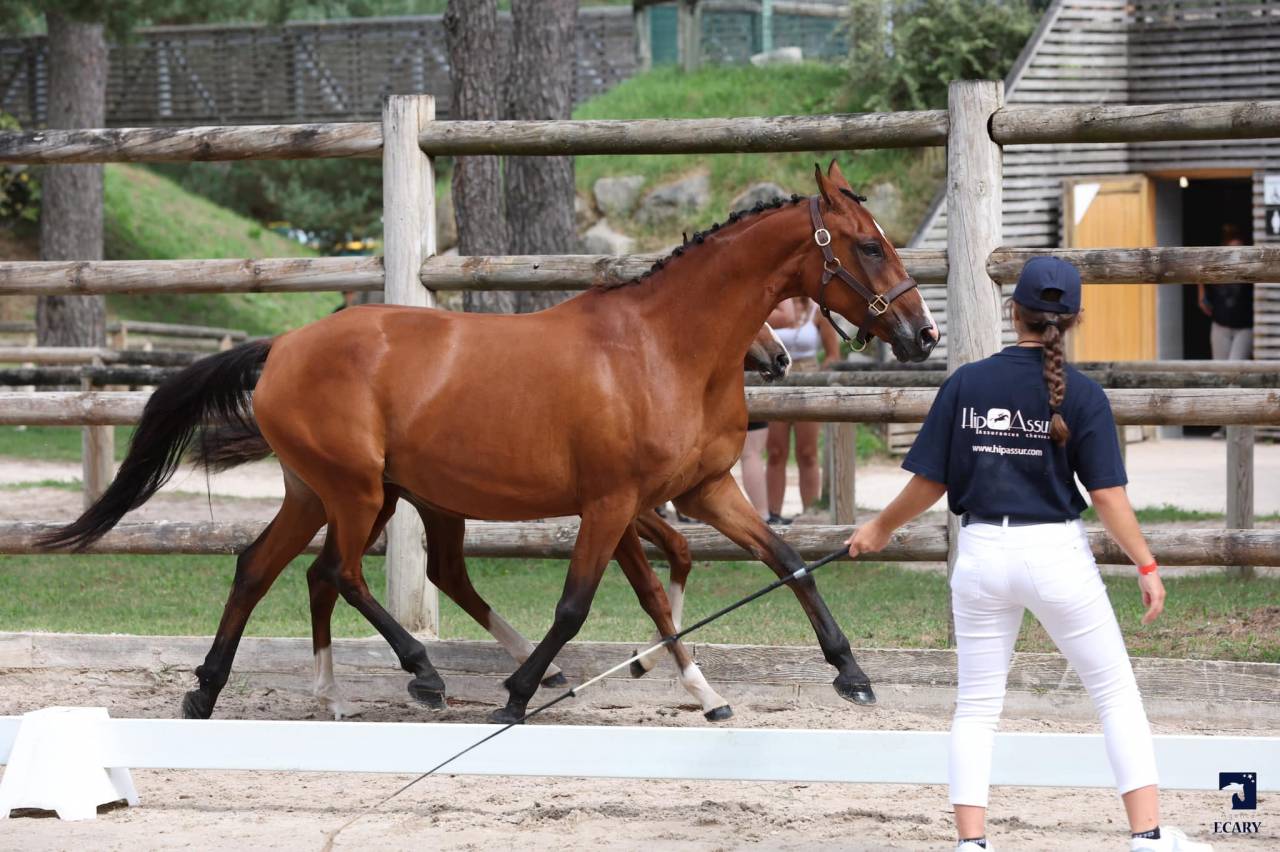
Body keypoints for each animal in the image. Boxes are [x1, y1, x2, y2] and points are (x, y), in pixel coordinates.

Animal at [42, 162, 938, 725]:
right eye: (867, 245)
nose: (922, 334)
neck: (664, 348)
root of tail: (287, 346)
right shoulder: (613, 503)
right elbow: (579, 605)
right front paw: (518, 690)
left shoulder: (702, 490)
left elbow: (784, 563)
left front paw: (850, 676)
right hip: (357, 494)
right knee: (338, 574)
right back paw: (423, 676)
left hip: (322, 493)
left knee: (261, 568)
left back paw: (214, 692)